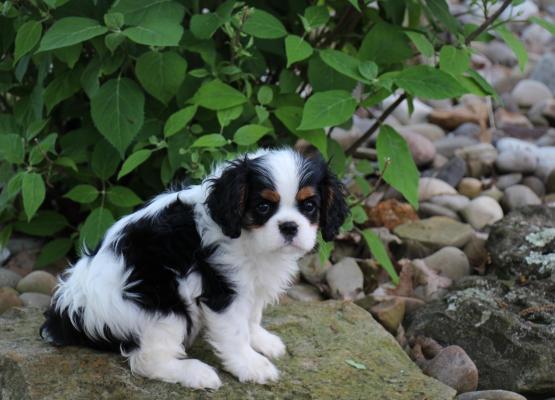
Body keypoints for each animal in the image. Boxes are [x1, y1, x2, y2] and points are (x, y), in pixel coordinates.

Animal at [42, 147, 348, 388]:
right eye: (263, 206)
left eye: (309, 206)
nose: (289, 227)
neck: (249, 238)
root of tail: (72, 306)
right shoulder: (223, 288)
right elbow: (235, 332)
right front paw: (250, 365)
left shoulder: (252, 285)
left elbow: (252, 317)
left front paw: (262, 341)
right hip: (163, 306)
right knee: (147, 360)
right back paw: (196, 372)